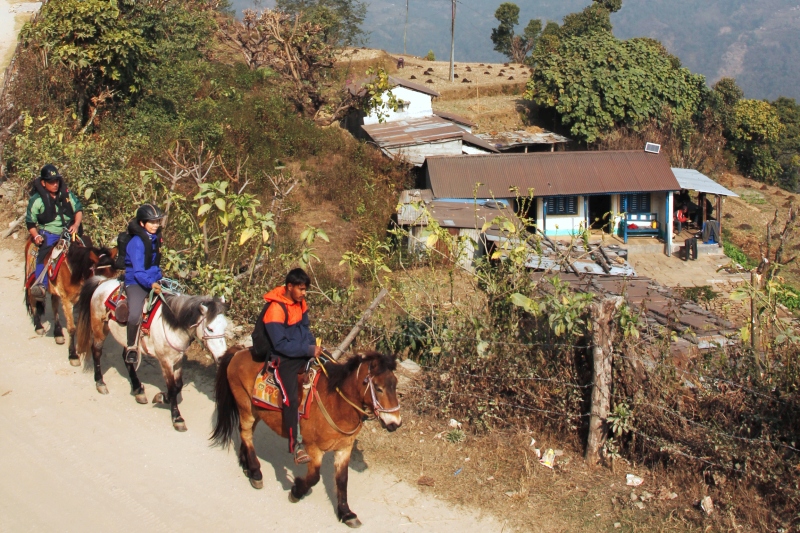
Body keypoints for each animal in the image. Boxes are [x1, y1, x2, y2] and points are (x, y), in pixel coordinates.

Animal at [24, 235, 118, 364]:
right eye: (99, 276)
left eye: (114, 276)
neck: (75, 272)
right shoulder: (67, 301)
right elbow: (72, 328)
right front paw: (73, 355)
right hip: (31, 278)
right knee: (32, 300)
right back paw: (38, 326)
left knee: (54, 306)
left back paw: (58, 333)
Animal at [76, 276, 228, 430]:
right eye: (209, 328)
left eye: (225, 327)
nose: (222, 357)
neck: (171, 324)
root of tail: (103, 282)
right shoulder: (165, 361)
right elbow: (173, 388)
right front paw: (177, 417)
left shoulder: (178, 360)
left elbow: (178, 385)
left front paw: (162, 397)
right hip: (100, 328)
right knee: (96, 352)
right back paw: (100, 383)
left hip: (128, 340)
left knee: (127, 358)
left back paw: (138, 390)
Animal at [211, 348, 404, 524]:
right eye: (378, 388)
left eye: (395, 384)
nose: (395, 423)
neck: (336, 404)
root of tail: (239, 352)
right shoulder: (314, 449)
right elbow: (314, 477)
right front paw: (296, 491)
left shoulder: (344, 448)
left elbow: (342, 480)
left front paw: (346, 513)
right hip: (245, 407)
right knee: (246, 433)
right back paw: (256, 472)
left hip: (257, 411)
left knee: (247, 433)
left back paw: (246, 466)